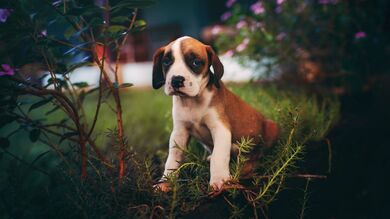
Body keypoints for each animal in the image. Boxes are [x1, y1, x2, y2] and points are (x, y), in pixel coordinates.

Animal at [152, 36, 278, 191]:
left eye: (196, 62)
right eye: (166, 62)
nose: (176, 80)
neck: (192, 102)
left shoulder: (220, 128)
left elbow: (219, 156)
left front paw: (220, 180)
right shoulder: (179, 133)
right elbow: (172, 158)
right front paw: (165, 181)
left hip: (271, 128)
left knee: (257, 155)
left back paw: (247, 167)